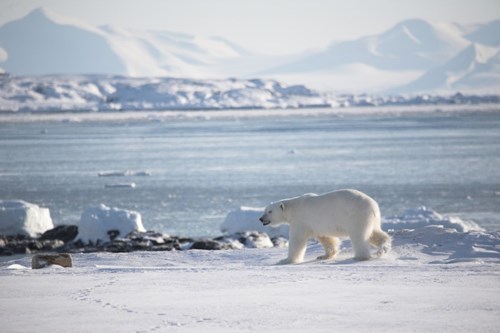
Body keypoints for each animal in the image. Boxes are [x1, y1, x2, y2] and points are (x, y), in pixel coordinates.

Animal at [260, 188, 392, 264]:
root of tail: (373, 205)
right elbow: (327, 239)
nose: (261, 219)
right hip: (372, 219)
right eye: (265, 210)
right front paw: (323, 256)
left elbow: (297, 240)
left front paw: (286, 260)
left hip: (356, 216)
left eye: (269, 211)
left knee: (359, 236)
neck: (294, 208)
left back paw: (360, 257)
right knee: (375, 233)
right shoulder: (316, 224)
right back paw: (383, 247)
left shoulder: (301, 220)